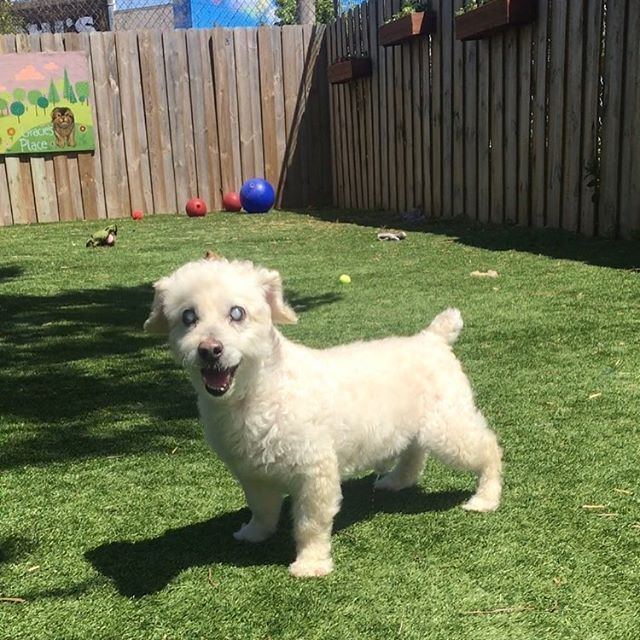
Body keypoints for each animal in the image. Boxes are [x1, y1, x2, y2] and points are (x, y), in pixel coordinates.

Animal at [145, 258, 500, 576]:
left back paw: (486, 497)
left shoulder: (315, 472)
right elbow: (261, 509)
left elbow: (310, 524)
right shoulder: (252, 472)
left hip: (448, 429)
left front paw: (311, 564)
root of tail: (432, 337)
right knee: (415, 453)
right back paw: (397, 481)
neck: (257, 393)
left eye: (237, 313)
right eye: (188, 317)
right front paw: (255, 533)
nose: (209, 349)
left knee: (489, 448)